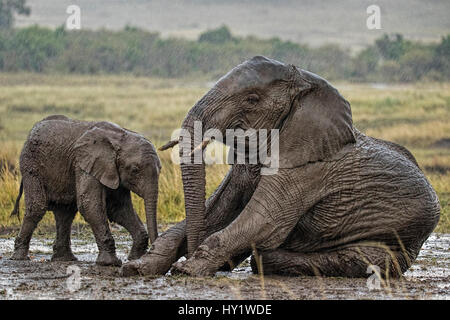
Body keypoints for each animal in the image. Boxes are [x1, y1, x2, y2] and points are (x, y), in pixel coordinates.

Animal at [9, 116, 162, 266]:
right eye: (135, 170)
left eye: (160, 168)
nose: (153, 251)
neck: (121, 136)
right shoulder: (85, 164)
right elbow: (90, 206)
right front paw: (110, 263)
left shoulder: (112, 170)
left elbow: (118, 209)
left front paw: (135, 258)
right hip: (31, 165)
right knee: (37, 207)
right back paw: (19, 258)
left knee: (65, 212)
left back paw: (64, 259)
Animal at [120, 55, 440, 278]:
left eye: (251, 99)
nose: (189, 255)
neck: (307, 84)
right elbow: (217, 210)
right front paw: (137, 268)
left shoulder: (307, 170)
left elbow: (264, 220)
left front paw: (187, 271)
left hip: (396, 242)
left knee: (355, 259)